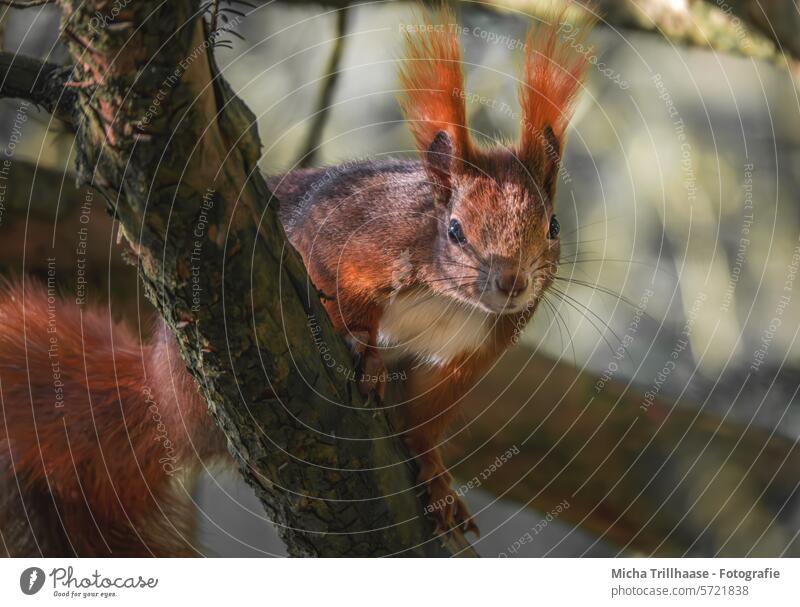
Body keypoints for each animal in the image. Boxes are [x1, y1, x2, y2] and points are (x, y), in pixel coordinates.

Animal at [0, 5, 588, 556]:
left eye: (553, 226)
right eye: (455, 230)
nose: (511, 283)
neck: (450, 298)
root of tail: (164, 394)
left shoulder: (473, 352)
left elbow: (425, 421)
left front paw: (438, 482)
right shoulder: (351, 239)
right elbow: (342, 293)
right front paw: (364, 349)